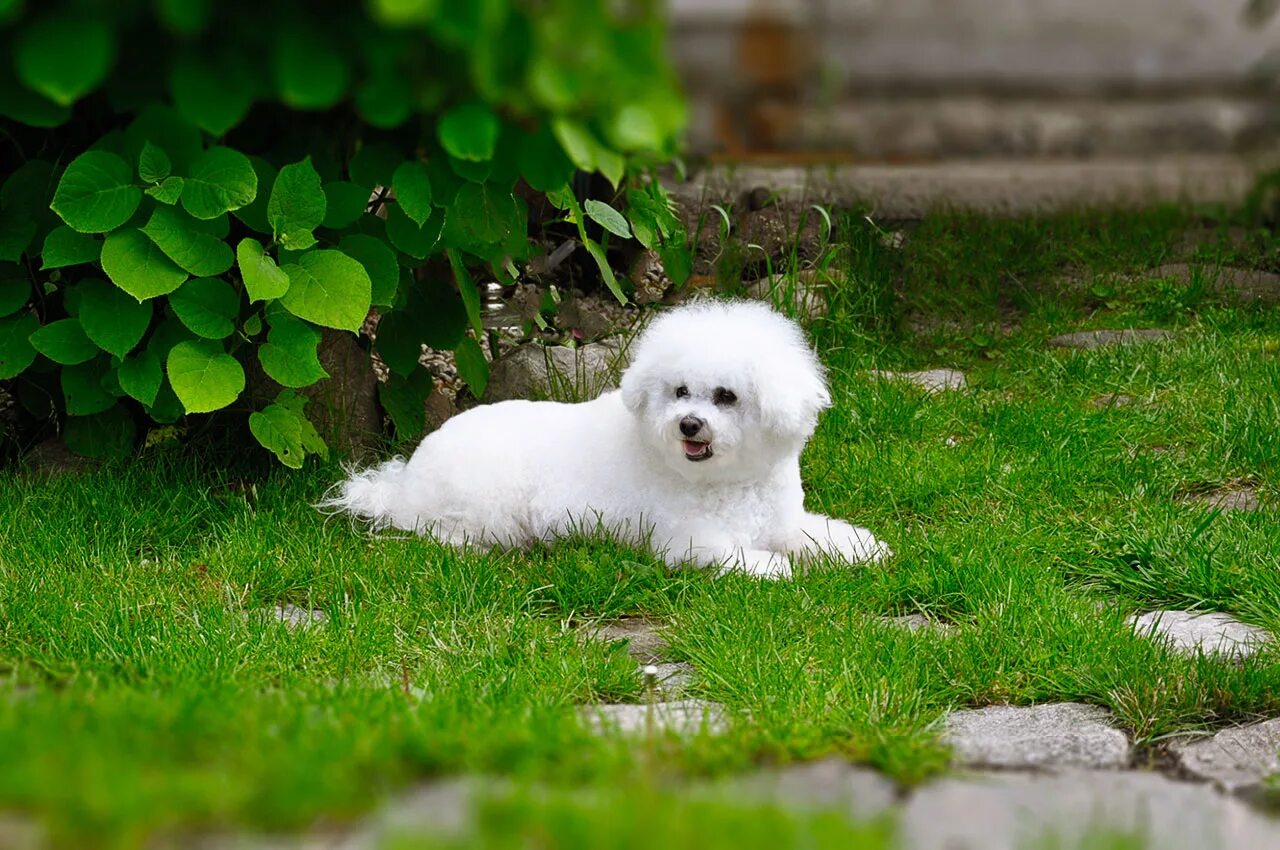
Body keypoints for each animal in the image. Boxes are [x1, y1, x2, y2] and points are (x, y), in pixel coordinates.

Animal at [322, 296, 890, 578]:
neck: (727, 482)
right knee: (438, 533)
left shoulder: (783, 521)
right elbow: (740, 555)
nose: (688, 424)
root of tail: (403, 483)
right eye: (680, 391)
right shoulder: (684, 541)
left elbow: (817, 535)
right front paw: (774, 567)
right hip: (483, 509)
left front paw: (861, 549)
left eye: (726, 396)